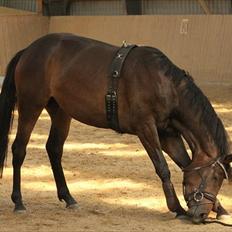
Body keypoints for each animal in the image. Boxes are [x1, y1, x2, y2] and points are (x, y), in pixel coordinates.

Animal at [0, 33, 232, 223]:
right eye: (215, 177)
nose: (201, 215)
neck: (164, 84)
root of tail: (28, 50)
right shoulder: (146, 128)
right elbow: (163, 167)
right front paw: (177, 208)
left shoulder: (168, 134)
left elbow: (184, 163)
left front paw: (220, 209)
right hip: (31, 105)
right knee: (19, 149)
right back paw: (19, 202)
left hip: (60, 111)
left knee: (54, 149)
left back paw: (68, 198)